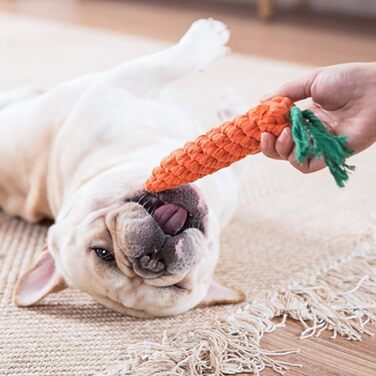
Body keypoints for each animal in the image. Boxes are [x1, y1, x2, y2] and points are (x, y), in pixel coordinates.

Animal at [0, 18, 247, 318]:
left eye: (177, 287)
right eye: (102, 253)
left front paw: (234, 109)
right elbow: (167, 63)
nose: (151, 260)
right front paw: (207, 38)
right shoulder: (115, 86)